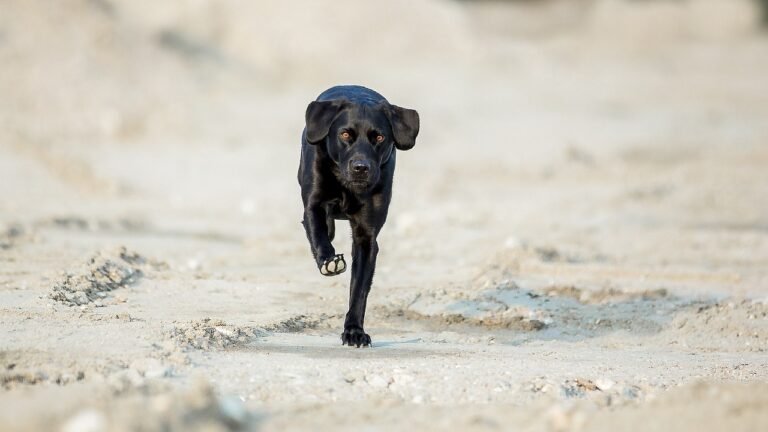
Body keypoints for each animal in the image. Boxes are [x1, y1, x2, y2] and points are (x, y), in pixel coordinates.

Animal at [298, 84, 420, 348]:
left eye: (380, 138)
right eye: (345, 135)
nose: (361, 168)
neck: (348, 187)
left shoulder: (366, 237)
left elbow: (359, 290)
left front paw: (354, 331)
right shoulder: (313, 205)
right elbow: (318, 233)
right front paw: (329, 261)